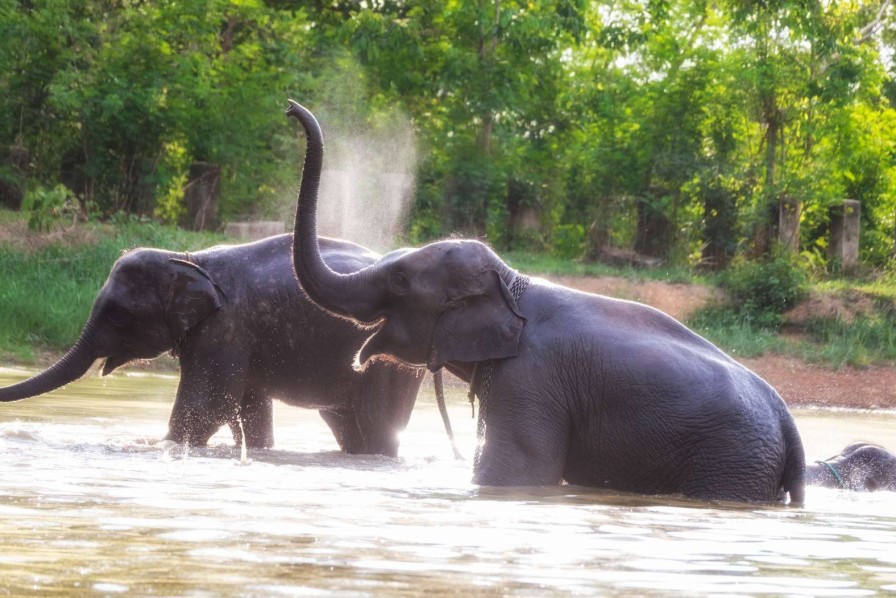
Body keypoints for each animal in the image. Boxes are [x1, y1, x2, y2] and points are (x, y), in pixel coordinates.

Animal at [0, 234, 432, 460]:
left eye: (120, 316)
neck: (188, 257)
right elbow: (249, 408)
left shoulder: (226, 330)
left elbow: (209, 406)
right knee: (347, 425)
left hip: (391, 365)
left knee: (377, 424)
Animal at [286, 101, 804, 504]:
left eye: (398, 281)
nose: (291, 108)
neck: (512, 282)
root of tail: (789, 426)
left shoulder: (530, 379)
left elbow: (513, 473)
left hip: (731, 459)